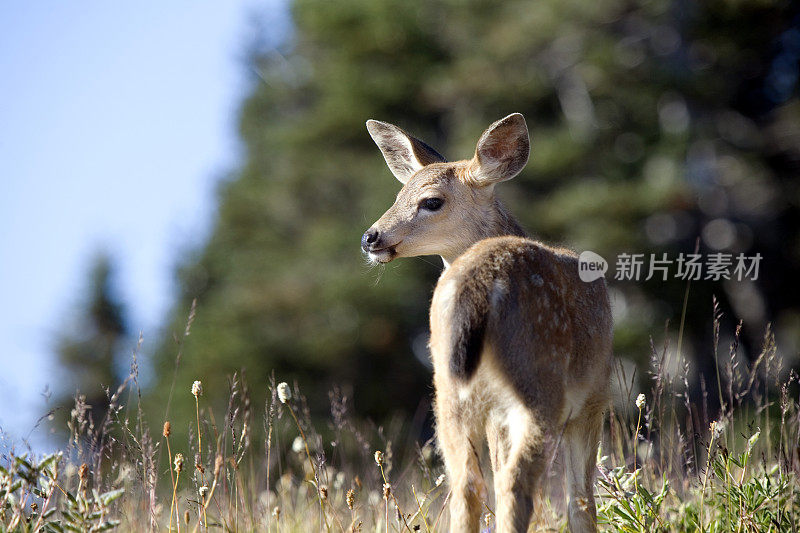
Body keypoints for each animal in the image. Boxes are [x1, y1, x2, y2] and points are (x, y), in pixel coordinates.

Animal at [362, 113, 612, 532]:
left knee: (467, 482)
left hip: (449, 393)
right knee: (516, 482)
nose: (370, 237)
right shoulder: (593, 401)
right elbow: (581, 499)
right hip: (538, 385)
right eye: (398, 196)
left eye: (430, 201)